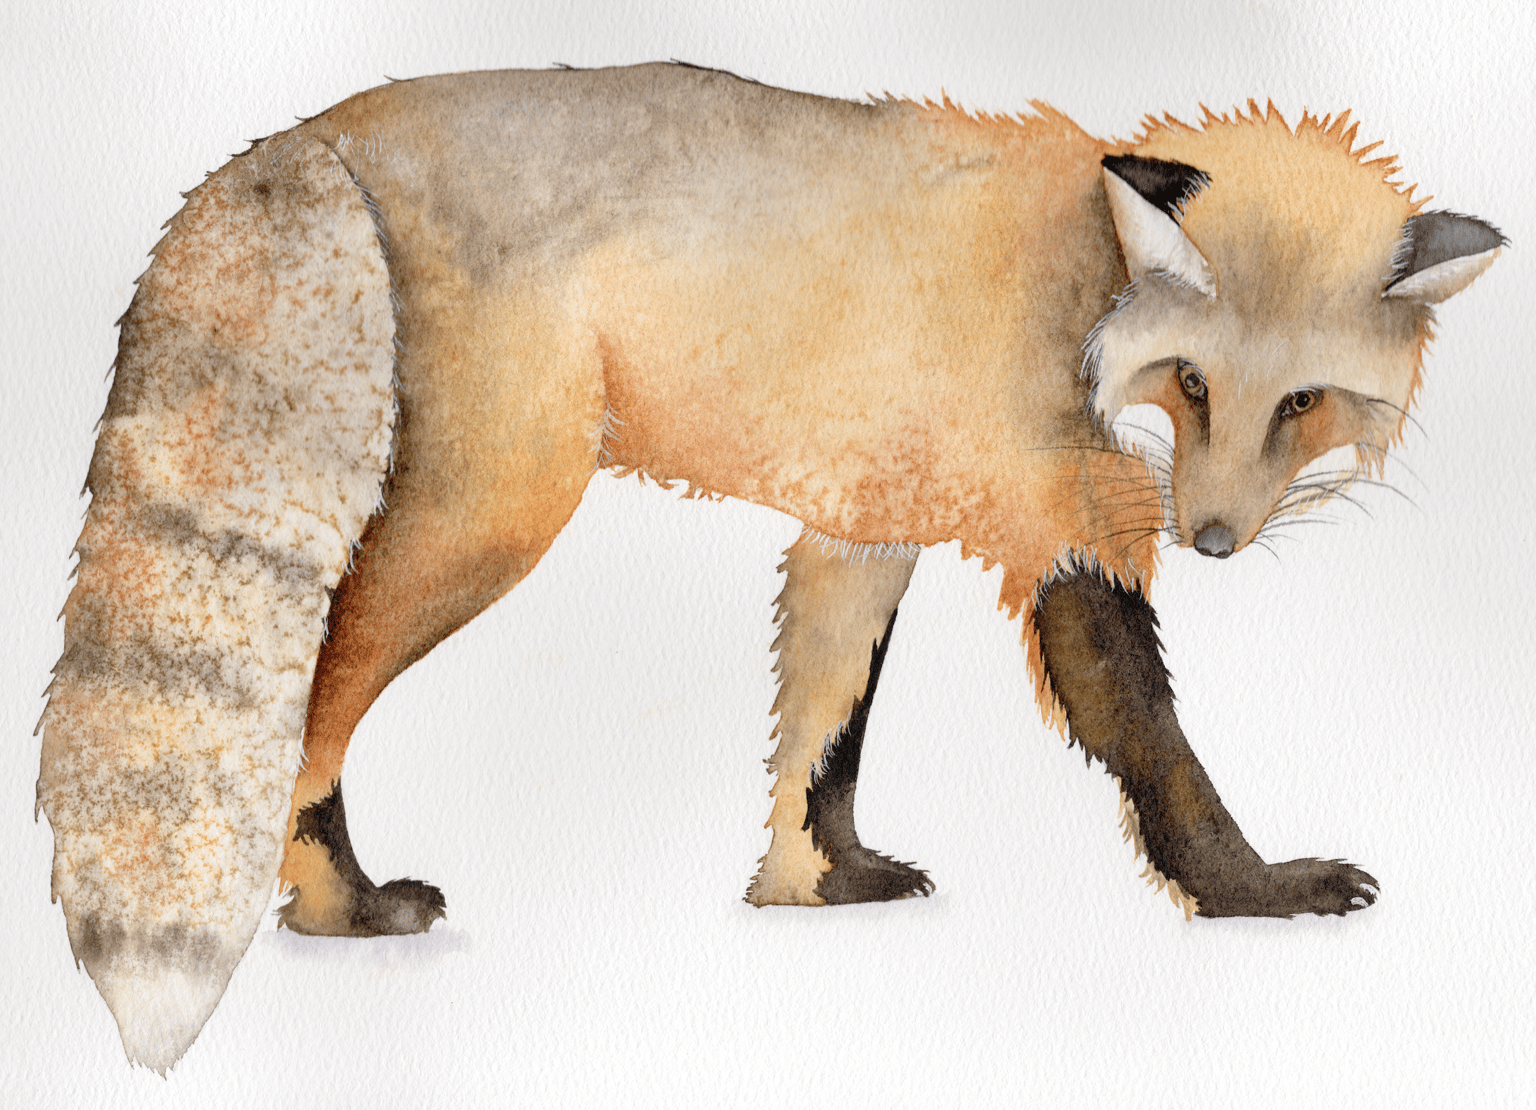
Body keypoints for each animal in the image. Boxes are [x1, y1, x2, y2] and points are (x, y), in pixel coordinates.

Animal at [37, 62, 1503, 1072]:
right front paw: (1250, 891)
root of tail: (312, 131)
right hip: (488, 520)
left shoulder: (863, 521)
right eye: (1194, 384)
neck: (1081, 283)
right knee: (312, 705)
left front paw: (813, 883)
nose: (1212, 540)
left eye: (1302, 403)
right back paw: (337, 908)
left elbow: (824, 731)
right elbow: (1152, 741)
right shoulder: (1061, 520)